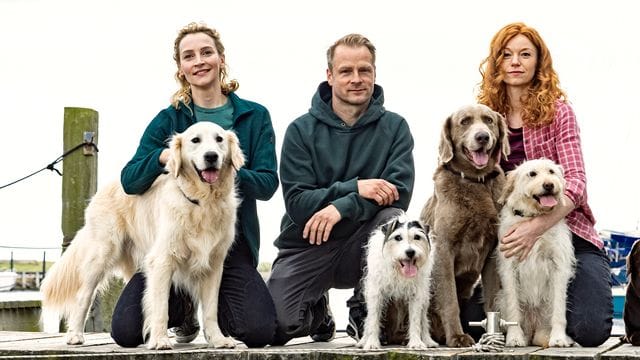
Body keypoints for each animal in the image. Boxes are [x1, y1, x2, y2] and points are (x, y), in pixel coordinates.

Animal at [420, 103, 510, 346]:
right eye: (465, 121)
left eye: (488, 120)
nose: (482, 137)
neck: (475, 181)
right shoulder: (444, 249)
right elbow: (449, 299)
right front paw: (458, 337)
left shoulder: (493, 250)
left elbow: (492, 298)